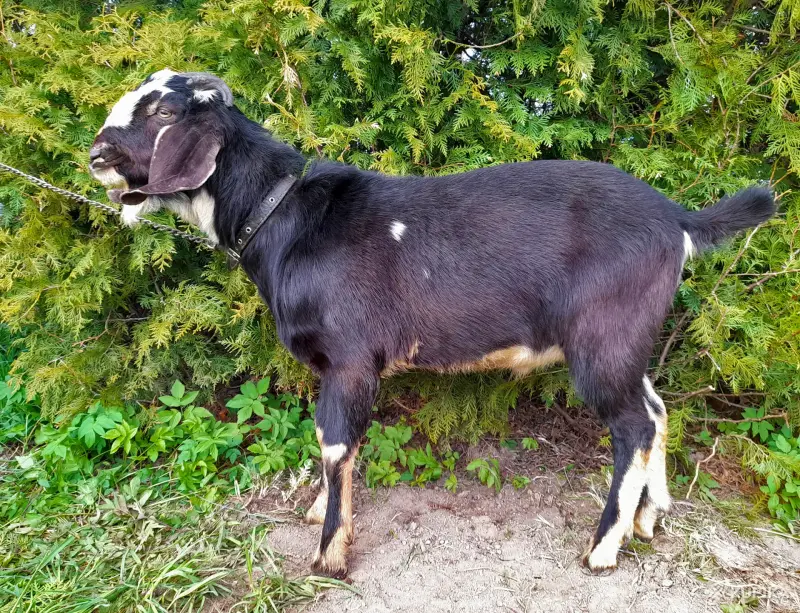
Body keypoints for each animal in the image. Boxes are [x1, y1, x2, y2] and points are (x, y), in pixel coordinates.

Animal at [89, 69, 776, 578]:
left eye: (163, 113)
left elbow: (335, 442)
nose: (95, 154)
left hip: (602, 340)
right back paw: (646, 520)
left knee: (633, 424)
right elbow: (332, 443)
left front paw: (329, 556)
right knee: (657, 411)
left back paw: (603, 549)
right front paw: (317, 514)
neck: (285, 216)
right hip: (628, 342)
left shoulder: (350, 357)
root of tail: (678, 221)